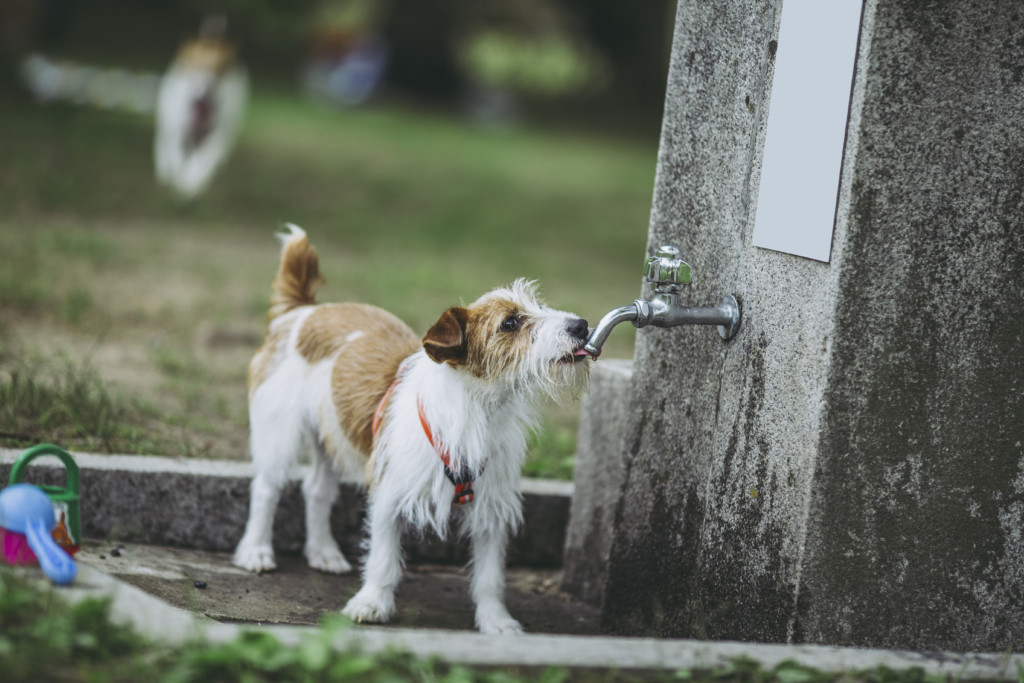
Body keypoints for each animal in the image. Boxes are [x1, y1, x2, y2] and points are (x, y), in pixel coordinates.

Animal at [156, 16, 250, 200]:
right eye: (195, 66)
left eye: (221, 70)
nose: (206, 90)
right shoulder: (180, 127)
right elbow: (177, 153)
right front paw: (178, 173)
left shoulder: (218, 135)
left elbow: (203, 161)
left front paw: (190, 182)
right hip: (167, 116)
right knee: (164, 141)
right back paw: (165, 168)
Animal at [233, 227, 593, 634]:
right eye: (511, 323)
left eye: (539, 307)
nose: (581, 325)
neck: (474, 409)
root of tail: (303, 311)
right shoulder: (390, 492)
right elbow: (383, 560)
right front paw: (372, 602)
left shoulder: (490, 507)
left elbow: (489, 577)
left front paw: (495, 620)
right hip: (280, 432)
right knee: (267, 488)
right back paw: (256, 551)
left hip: (333, 434)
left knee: (317, 490)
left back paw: (323, 552)